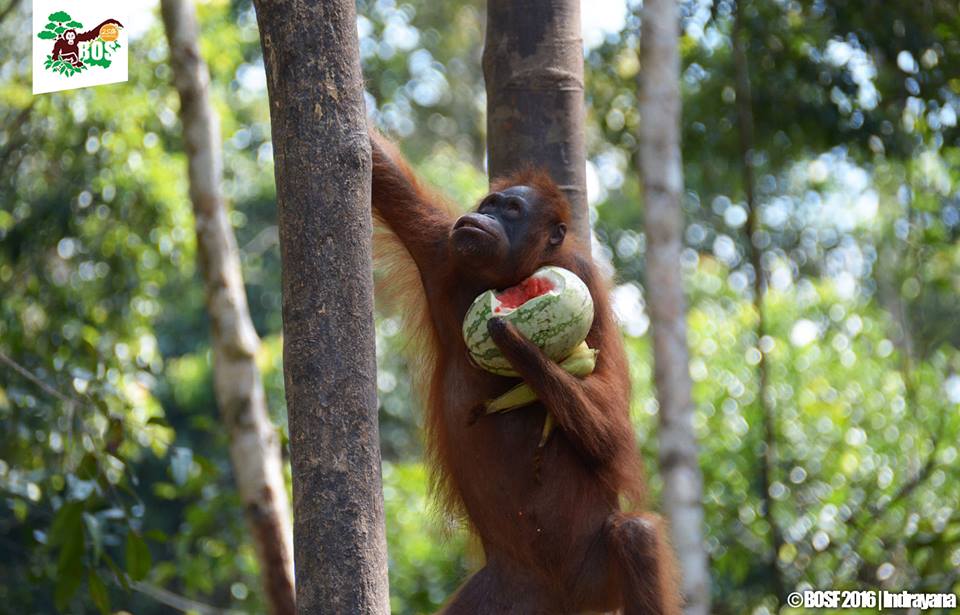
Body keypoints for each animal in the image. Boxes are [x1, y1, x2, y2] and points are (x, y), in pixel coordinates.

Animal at [370, 130, 682, 615]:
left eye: (512, 209)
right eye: (489, 203)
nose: (482, 216)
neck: (512, 275)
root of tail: (562, 601)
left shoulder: (585, 278)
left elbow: (612, 427)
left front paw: (516, 341)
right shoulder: (442, 248)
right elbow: (383, 176)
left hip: (597, 583)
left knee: (636, 534)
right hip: (503, 595)